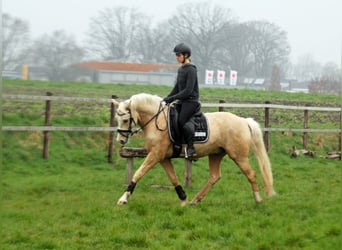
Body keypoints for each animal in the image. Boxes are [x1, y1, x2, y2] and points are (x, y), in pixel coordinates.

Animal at [112, 93, 276, 206]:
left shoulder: (155, 155)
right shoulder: (162, 157)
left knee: (251, 174)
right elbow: (173, 178)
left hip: (239, 156)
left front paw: (123, 199)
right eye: (117, 119)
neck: (157, 121)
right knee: (214, 176)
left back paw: (258, 199)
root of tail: (243, 121)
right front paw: (183, 199)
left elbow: (138, 173)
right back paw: (195, 200)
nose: (121, 140)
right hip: (216, 154)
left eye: (125, 119)